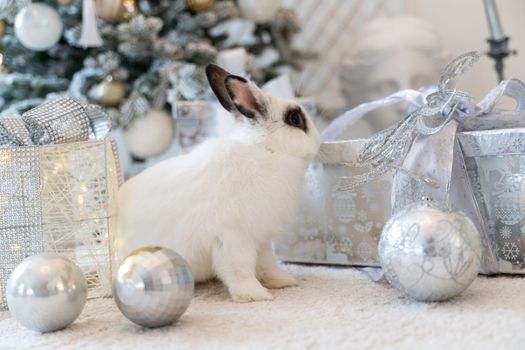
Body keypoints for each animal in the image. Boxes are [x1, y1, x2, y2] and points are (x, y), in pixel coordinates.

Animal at [117, 65, 322, 300]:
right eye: (295, 118)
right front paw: (254, 295)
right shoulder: (233, 237)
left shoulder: (261, 240)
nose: (319, 141)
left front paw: (283, 281)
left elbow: (267, 264)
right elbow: (239, 269)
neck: (267, 150)